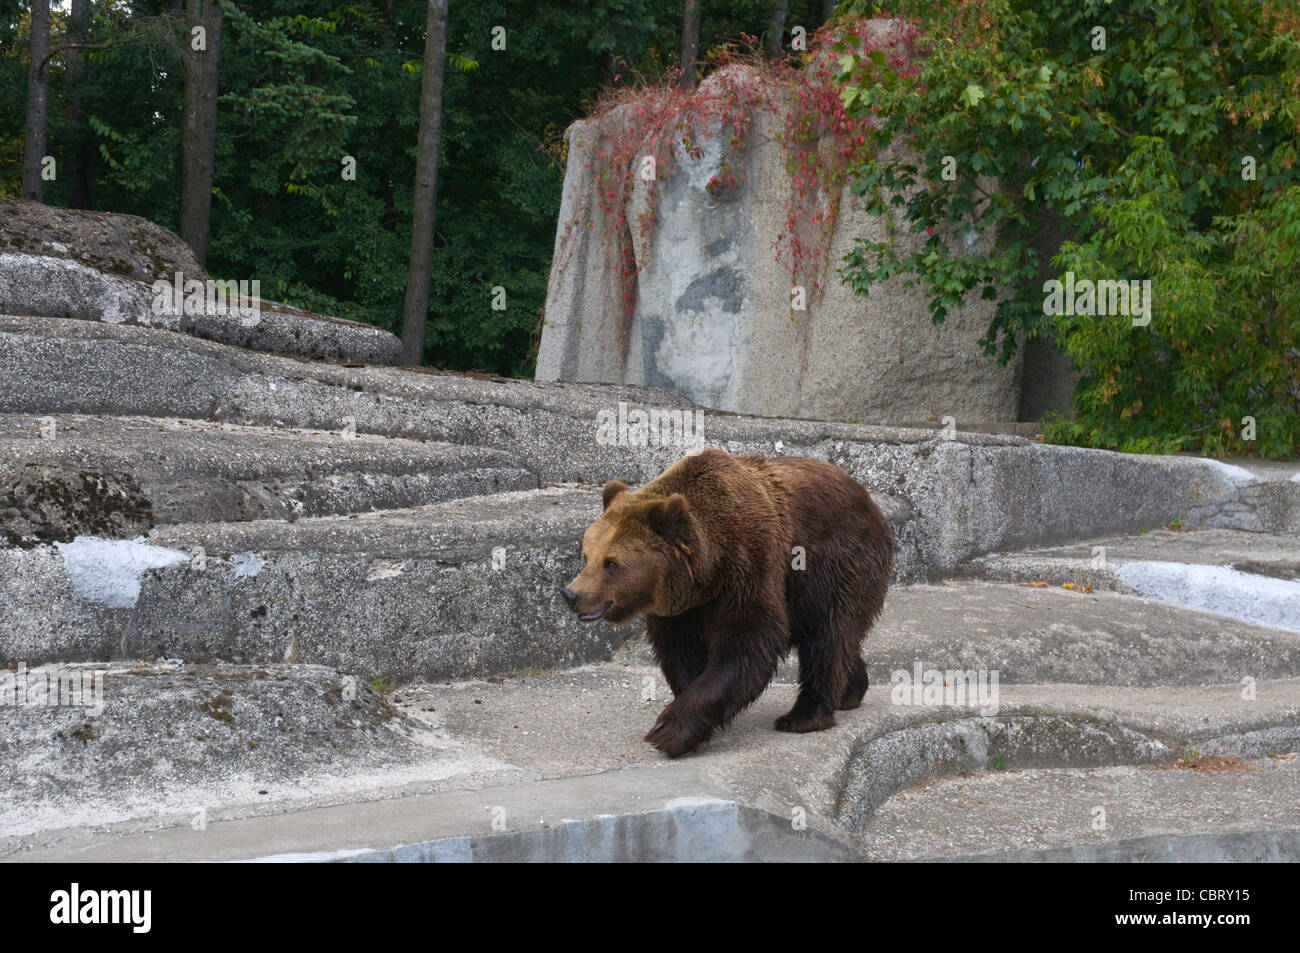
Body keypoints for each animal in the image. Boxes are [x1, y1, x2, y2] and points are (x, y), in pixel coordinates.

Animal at [559, 447, 894, 759]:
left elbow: (749, 643)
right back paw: (850, 691)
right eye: (587, 555)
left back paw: (803, 715)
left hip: (835, 563)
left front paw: (668, 731)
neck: (708, 571)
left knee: (827, 634)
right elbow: (681, 652)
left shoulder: (749, 568)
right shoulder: (681, 609)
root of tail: (869, 499)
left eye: (611, 563)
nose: (571, 594)